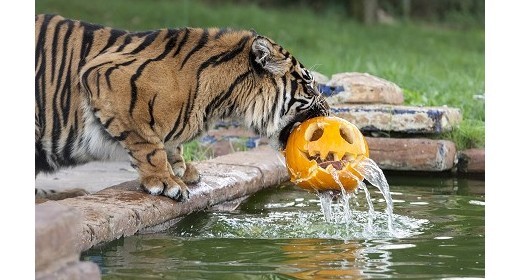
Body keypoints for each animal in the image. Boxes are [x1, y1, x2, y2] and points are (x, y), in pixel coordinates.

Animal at [35, 14, 330, 201]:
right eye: (309, 84)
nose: (329, 110)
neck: (222, 98)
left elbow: (169, 145)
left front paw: (181, 169)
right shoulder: (105, 76)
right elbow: (148, 144)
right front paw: (164, 182)